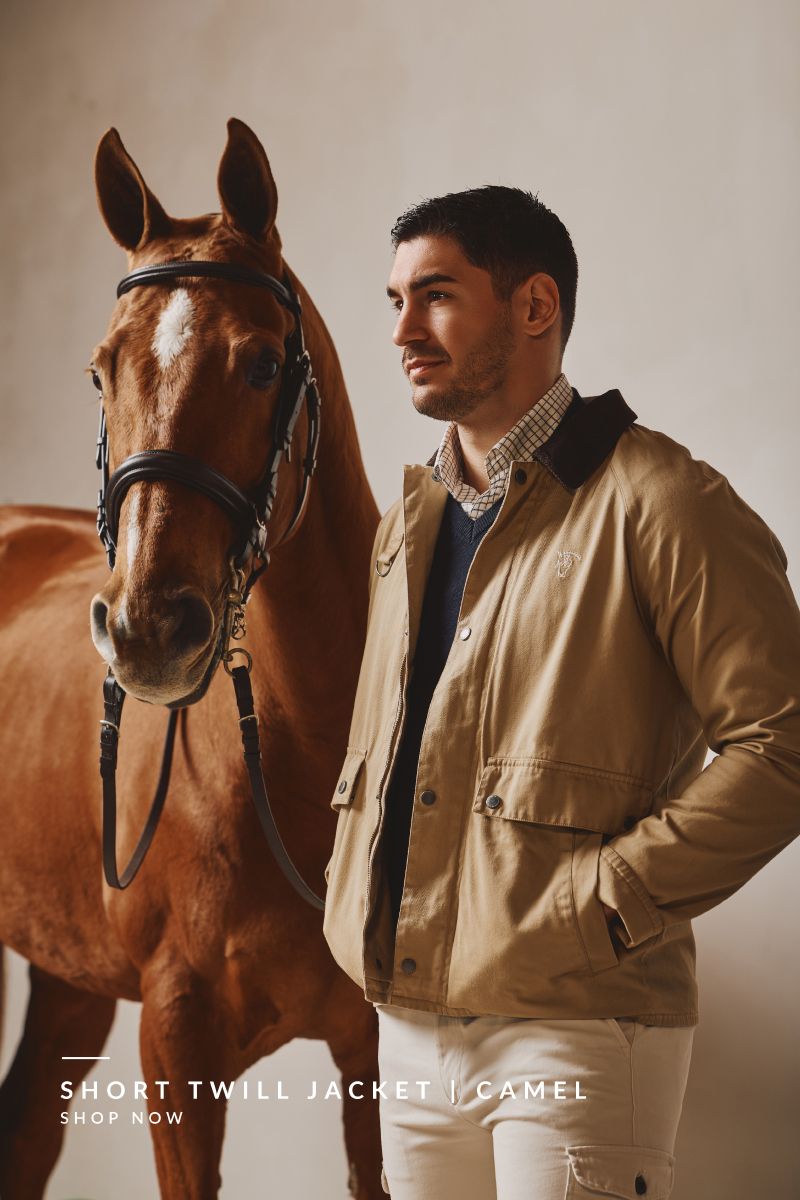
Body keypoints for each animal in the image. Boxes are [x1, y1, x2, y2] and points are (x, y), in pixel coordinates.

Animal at [0, 117, 383, 1199]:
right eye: (99, 371)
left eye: (261, 364)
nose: (146, 631)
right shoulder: (176, 1047)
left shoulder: (370, 1051)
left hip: (67, 975)